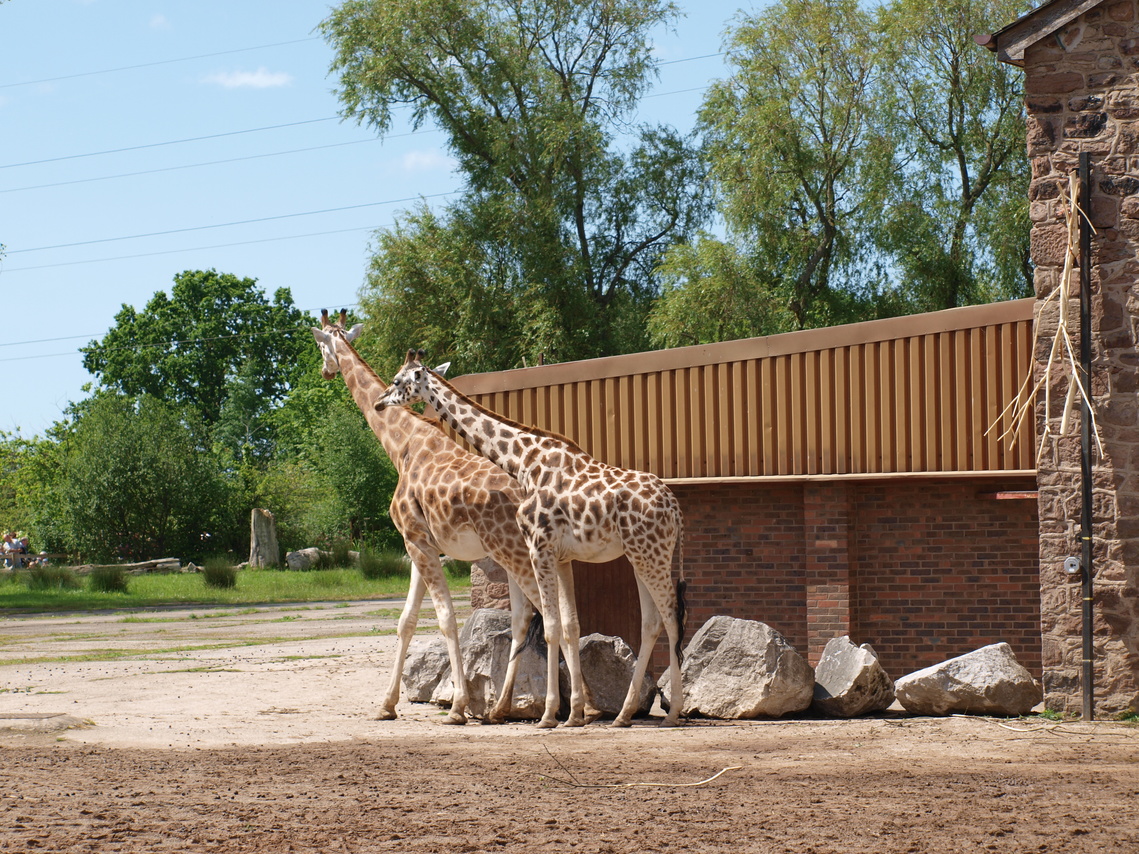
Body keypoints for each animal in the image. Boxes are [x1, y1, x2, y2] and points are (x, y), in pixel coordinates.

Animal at [375, 348, 683, 728]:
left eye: (398, 381)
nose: (380, 403)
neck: (522, 462)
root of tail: (675, 507)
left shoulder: (539, 547)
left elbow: (550, 626)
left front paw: (550, 714)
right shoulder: (561, 557)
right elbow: (568, 624)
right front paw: (573, 714)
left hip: (651, 555)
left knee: (671, 618)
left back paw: (673, 713)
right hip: (642, 556)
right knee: (651, 622)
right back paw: (624, 714)